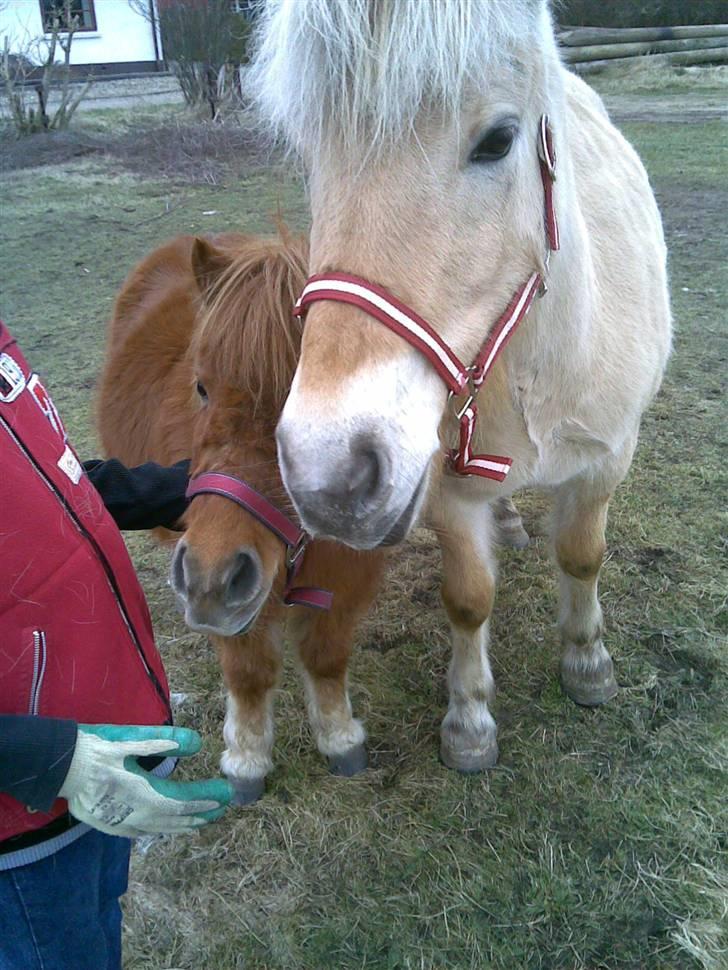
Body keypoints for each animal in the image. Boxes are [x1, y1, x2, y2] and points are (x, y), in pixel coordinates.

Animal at [96, 231, 386, 796]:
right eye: (201, 387)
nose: (210, 574)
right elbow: (248, 670)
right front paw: (248, 760)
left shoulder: (347, 570)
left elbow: (326, 654)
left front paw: (339, 738)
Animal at [250, 0, 672, 772]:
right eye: (308, 154)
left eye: (499, 140)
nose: (328, 473)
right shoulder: (445, 489)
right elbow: (469, 598)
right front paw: (470, 721)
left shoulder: (607, 459)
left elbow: (582, 556)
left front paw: (587, 665)